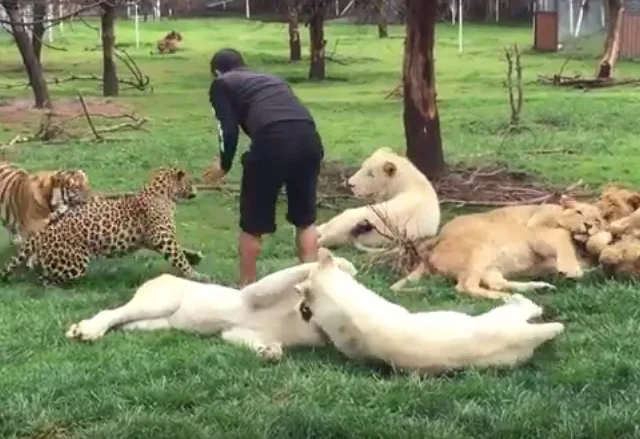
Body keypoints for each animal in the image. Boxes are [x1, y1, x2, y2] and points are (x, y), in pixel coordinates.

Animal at [0, 167, 211, 288]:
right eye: (190, 181)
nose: (197, 189)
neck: (164, 194)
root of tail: (43, 233)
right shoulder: (162, 237)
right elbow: (179, 257)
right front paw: (196, 276)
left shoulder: (154, 239)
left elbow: (181, 250)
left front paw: (194, 259)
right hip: (75, 263)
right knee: (44, 279)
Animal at [65, 256, 360, 362]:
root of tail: (160, 276)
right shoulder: (253, 294)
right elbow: (295, 271)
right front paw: (343, 264)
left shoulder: (235, 332)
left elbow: (259, 342)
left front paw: (271, 352)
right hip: (159, 302)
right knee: (111, 313)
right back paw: (86, 331)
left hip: (154, 323)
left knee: (122, 322)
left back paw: (80, 329)